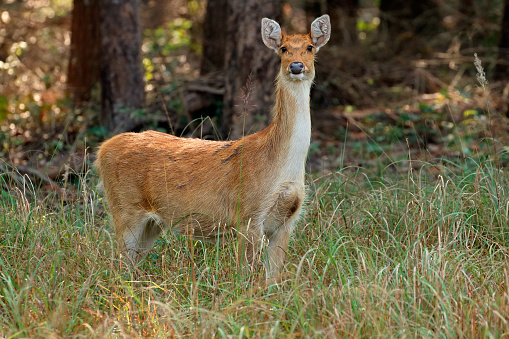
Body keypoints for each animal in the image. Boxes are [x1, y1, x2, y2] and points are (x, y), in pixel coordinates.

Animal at [95, 14, 332, 282]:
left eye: (310, 47)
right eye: (283, 49)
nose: (296, 66)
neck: (282, 167)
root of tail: (102, 151)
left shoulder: (286, 221)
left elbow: (272, 278)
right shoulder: (248, 214)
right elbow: (245, 275)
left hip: (150, 223)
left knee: (130, 266)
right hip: (125, 208)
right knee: (117, 266)